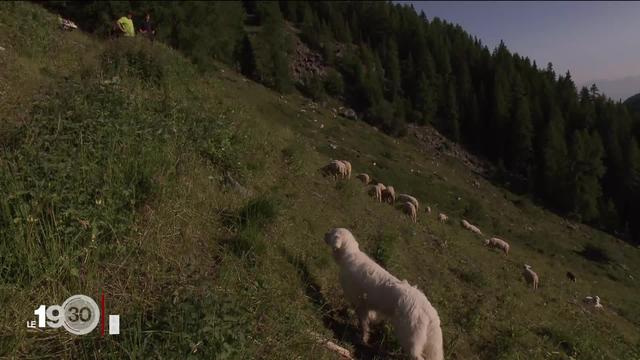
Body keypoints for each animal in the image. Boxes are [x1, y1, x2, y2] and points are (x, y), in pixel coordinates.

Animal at [322, 228, 442, 360]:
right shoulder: (366, 306)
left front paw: (362, 339)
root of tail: (430, 311)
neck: (349, 255)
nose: (324, 234)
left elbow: (363, 324)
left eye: (332, 233)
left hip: (409, 337)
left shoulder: (359, 303)